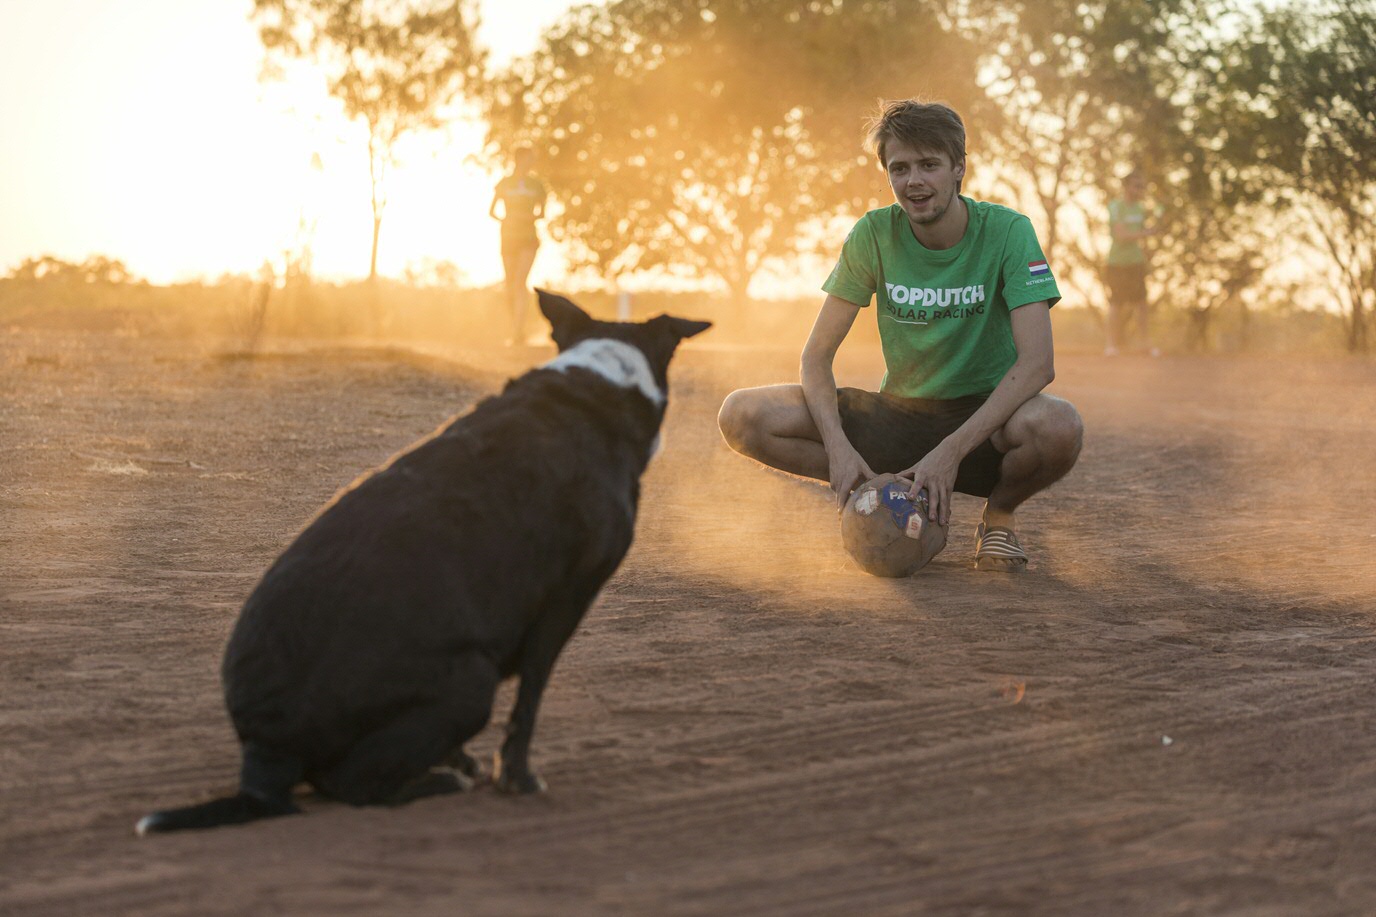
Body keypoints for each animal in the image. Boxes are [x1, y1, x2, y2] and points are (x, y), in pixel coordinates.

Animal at [138, 289, 710, 831]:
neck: (596, 390)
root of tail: (264, 757)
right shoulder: (566, 600)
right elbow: (528, 702)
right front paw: (517, 777)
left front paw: (467, 761)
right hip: (473, 680)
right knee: (347, 785)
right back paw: (436, 782)